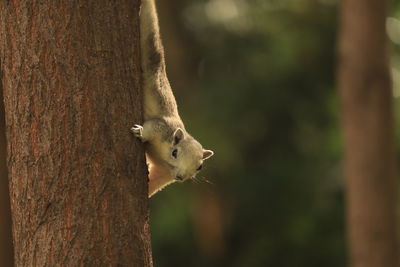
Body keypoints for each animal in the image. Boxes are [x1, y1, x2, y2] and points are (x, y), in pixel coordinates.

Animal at [130, 0, 212, 198]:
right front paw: (140, 132)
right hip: (151, 60)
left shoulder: (164, 173)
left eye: (199, 167)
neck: (165, 160)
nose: (181, 177)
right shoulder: (162, 127)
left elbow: (155, 181)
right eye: (175, 153)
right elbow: (151, 126)